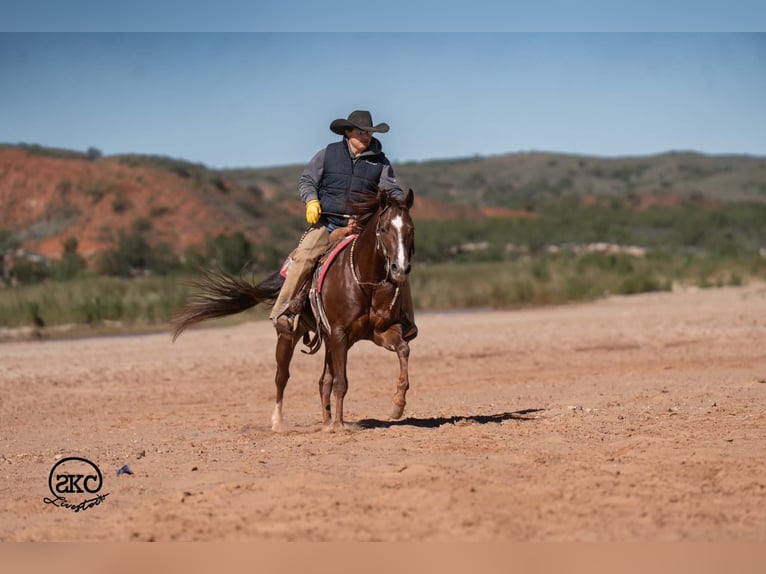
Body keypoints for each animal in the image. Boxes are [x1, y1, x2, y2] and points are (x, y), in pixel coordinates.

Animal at [171, 188, 416, 431]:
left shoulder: (378, 332)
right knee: (282, 376)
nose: (400, 268)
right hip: (289, 335)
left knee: (323, 381)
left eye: (410, 229)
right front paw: (339, 425)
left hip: (328, 341)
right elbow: (341, 382)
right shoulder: (339, 334)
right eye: (384, 228)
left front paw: (397, 405)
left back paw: (325, 421)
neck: (364, 281)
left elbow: (403, 350)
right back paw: (279, 421)